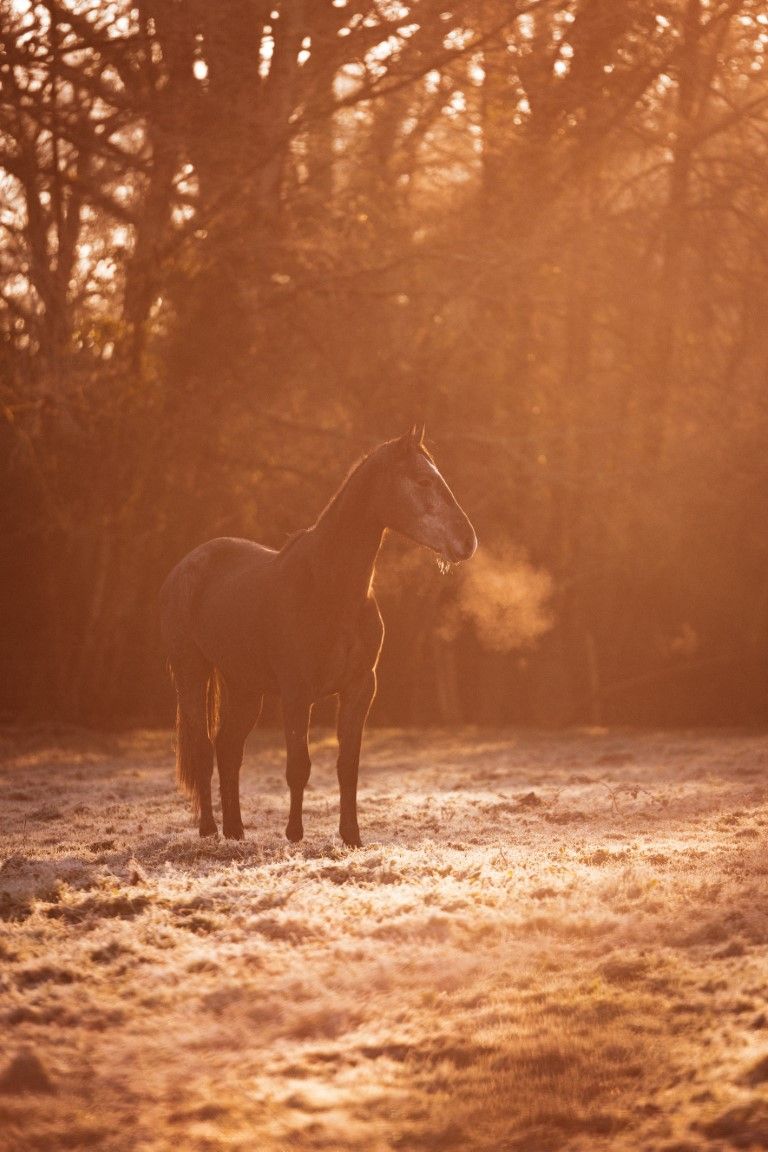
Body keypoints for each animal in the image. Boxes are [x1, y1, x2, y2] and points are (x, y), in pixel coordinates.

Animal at [159, 426, 477, 847]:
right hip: (192, 673)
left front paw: (351, 836)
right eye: (424, 480)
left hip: (244, 687)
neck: (330, 588)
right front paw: (295, 834)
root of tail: (184, 567)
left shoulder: (360, 688)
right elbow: (299, 766)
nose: (467, 540)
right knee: (202, 749)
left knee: (228, 749)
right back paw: (210, 830)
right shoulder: (297, 694)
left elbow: (348, 766)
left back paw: (236, 831)